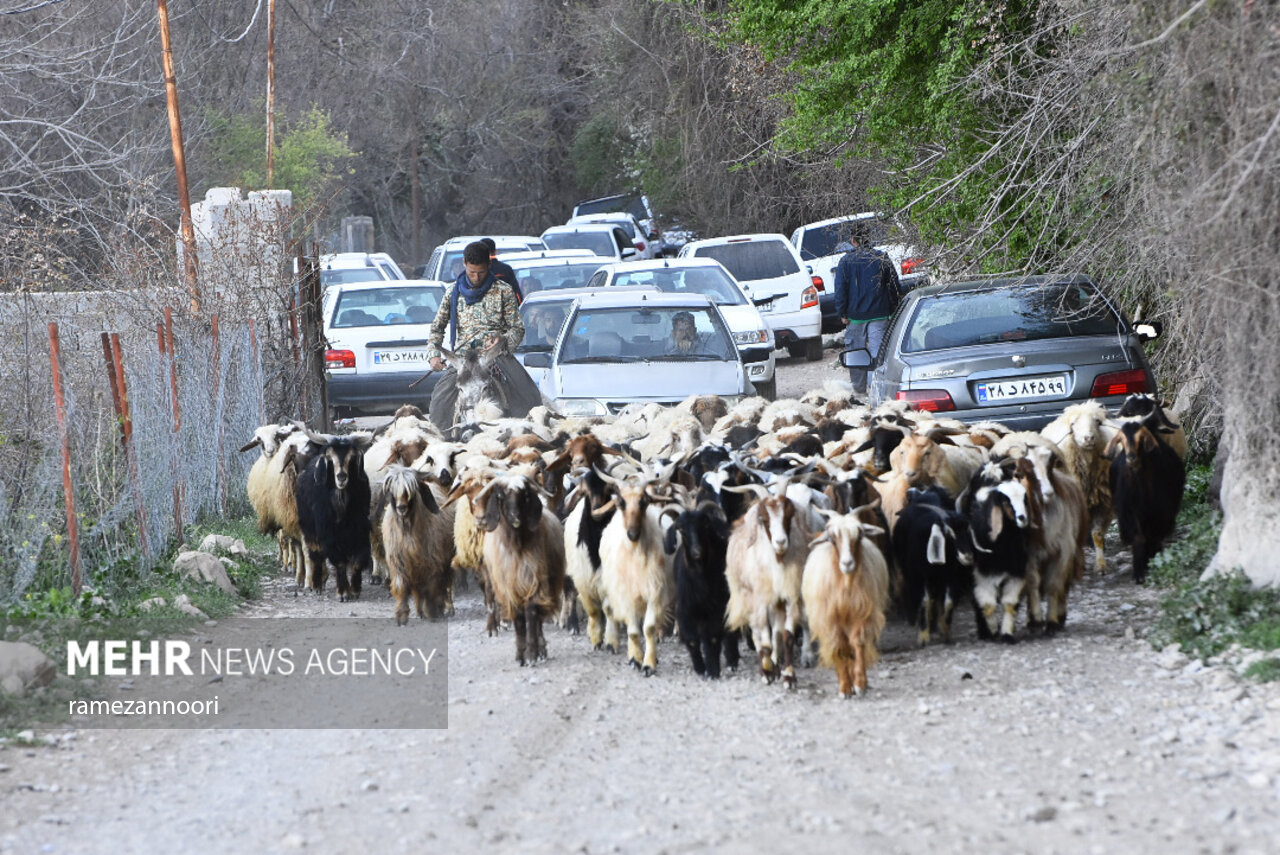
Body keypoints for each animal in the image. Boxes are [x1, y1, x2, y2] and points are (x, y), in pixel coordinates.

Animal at [473, 473, 568, 665]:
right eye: (501, 496)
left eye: (524, 495)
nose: (515, 516)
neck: (516, 547)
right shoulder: (510, 586)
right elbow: (518, 619)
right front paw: (520, 654)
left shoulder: (534, 582)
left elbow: (531, 615)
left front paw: (531, 654)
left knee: (538, 619)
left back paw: (541, 649)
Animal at [798, 506, 890, 696]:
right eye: (832, 539)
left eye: (860, 535)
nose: (847, 563)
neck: (845, 584)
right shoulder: (830, 619)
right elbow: (839, 647)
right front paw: (845, 687)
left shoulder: (861, 613)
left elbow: (858, 644)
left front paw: (860, 684)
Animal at [1105, 419, 1182, 583]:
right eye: (1121, 440)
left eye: (1141, 438)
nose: (1131, 458)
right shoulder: (1129, 511)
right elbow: (1139, 537)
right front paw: (1139, 573)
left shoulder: (1161, 511)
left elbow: (1154, 536)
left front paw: (1152, 561)